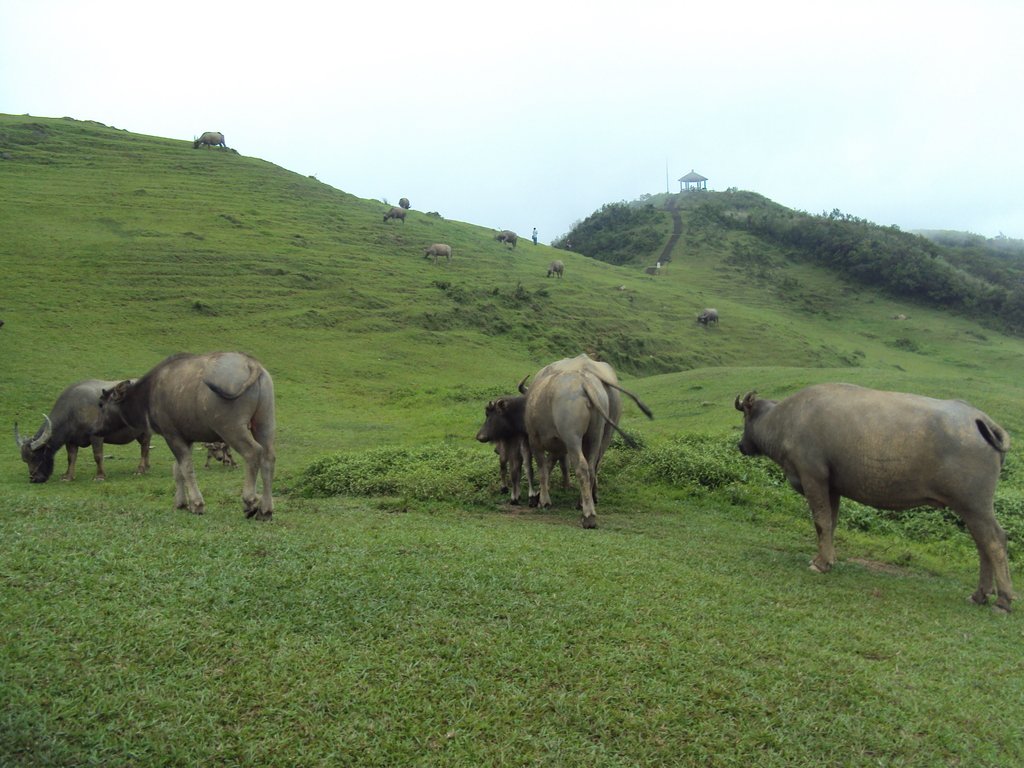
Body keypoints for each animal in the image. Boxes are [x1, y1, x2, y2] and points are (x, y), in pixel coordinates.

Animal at [14, 380, 150, 483]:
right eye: (25, 460)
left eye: (36, 457)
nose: (34, 479)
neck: (74, 410)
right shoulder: (71, 440)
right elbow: (71, 458)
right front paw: (68, 476)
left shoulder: (96, 437)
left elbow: (98, 456)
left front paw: (100, 476)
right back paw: (147, 467)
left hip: (145, 431)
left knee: (144, 447)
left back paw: (140, 470)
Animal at [97, 352, 276, 520]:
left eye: (100, 404)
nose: (96, 429)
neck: (148, 394)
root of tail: (251, 363)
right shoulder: (186, 439)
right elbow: (177, 470)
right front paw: (181, 503)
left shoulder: (171, 435)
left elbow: (186, 467)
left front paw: (197, 504)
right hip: (264, 423)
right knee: (268, 458)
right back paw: (265, 510)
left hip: (231, 428)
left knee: (253, 453)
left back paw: (250, 501)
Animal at [524, 356, 651, 528]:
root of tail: (584, 383)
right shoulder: (558, 446)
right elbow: (550, 466)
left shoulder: (535, 440)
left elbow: (543, 469)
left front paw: (543, 500)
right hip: (599, 434)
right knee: (593, 466)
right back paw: (587, 500)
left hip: (572, 438)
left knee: (582, 467)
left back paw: (588, 515)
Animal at [737, 385, 1015, 614]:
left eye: (745, 417)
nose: (741, 445)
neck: (786, 420)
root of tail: (979, 419)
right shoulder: (832, 487)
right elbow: (831, 524)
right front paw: (826, 558)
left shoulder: (813, 478)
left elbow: (821, 522)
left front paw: (821, 564)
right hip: (971, 509)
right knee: (982, 544)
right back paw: (980, 595)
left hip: (975, 505)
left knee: (994, 541)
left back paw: (1003, 600)